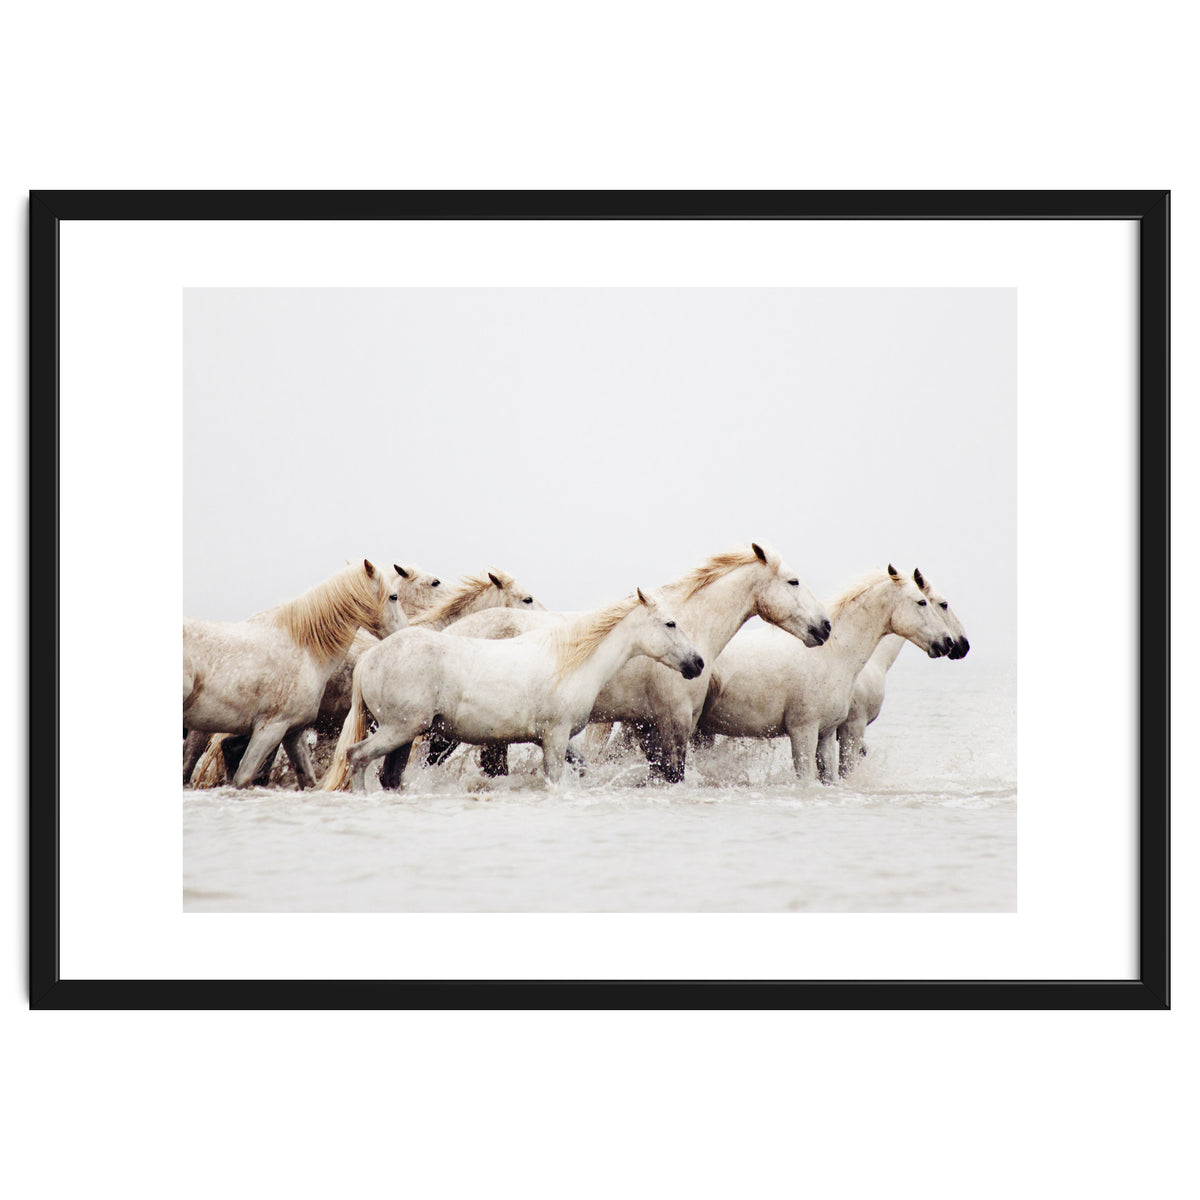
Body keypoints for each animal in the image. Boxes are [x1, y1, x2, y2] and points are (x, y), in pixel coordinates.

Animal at [185, 559, 442, 786]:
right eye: (393, 596)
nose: (405, 632)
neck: (305, 649)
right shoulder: (270, 728)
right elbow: (244, 777)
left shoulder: (292, 731)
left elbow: (306, 778)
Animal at [320, 588, 705, 792]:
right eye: (670, 623)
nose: (697, 663)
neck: (570, 661)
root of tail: (370, 656)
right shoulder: (554, 737)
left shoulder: (555, 740)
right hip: (400, 729)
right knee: (357, 757)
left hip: (405, 734)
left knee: (389, 775)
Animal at [411, 543, 831, 784]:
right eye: (793, 582)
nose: (824, 627)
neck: (688, 624)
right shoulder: (674, 722)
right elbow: (674, 774)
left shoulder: (646, 725)